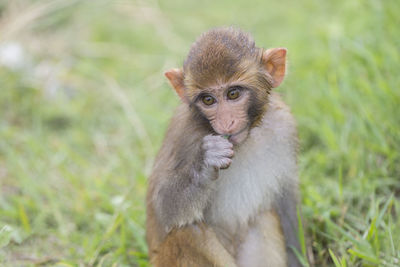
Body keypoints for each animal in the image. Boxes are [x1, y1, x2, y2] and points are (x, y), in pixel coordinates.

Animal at [145, 27, 302, 267]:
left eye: (233, 94)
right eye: (208, 100)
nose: (226, 123)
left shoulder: (284, 126)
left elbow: (286, 202)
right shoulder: (183, 134)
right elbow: (164, 207)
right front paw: (206, 162)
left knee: (264, 216)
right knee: (187, 230)